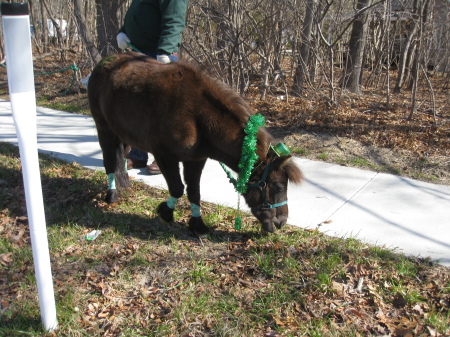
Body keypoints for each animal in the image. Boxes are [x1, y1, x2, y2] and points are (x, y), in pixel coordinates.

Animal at [88, 52, 302, 235]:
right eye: (279, 187)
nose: (281, 222)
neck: (198, 116)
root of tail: (104, 62)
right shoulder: (164, 156)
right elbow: (177, 188)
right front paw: (165, 213)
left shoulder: (196, 160)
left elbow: (194, 192)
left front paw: (197, 224)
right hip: (104, 128)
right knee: (110, 162)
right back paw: (112, 194)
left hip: (124, 134)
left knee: (121, 159)